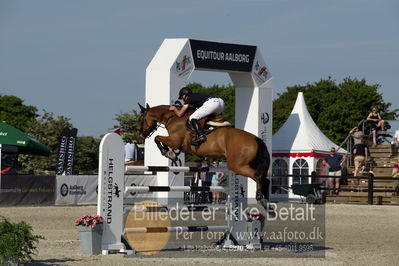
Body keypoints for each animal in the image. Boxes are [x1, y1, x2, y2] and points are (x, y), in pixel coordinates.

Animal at [137, 103, 272, 205]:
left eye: (141, 120)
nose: (139, 137)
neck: (173, 118)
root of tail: (256, 139)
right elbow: (158, 139)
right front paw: (170, 153)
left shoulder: (174, 142)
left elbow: (157, 138)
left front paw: (168, 153)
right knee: (264, 179)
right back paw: (267, 205)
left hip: (237, 166)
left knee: (257, 176)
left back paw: (260, 197)